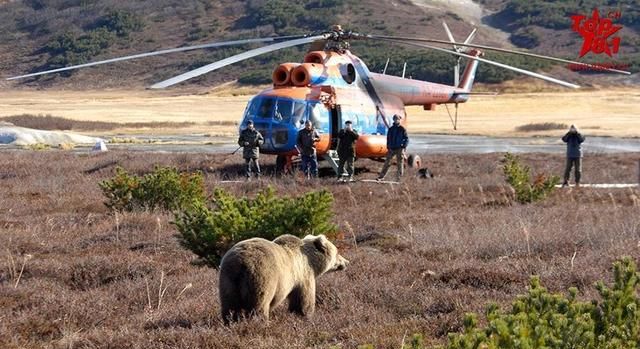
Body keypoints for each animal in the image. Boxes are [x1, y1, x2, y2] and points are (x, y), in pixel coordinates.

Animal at [220, 232, 350, 322]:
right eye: (337, 252)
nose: (346, 262)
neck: (311, 261)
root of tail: (240, 263)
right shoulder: (303, 275)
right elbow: (303, 300)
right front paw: (305, 315)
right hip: (261, 277)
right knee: (259, 305)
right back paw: (261, 322)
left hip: (228, 280)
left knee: (230, 306)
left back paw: (231, 322)